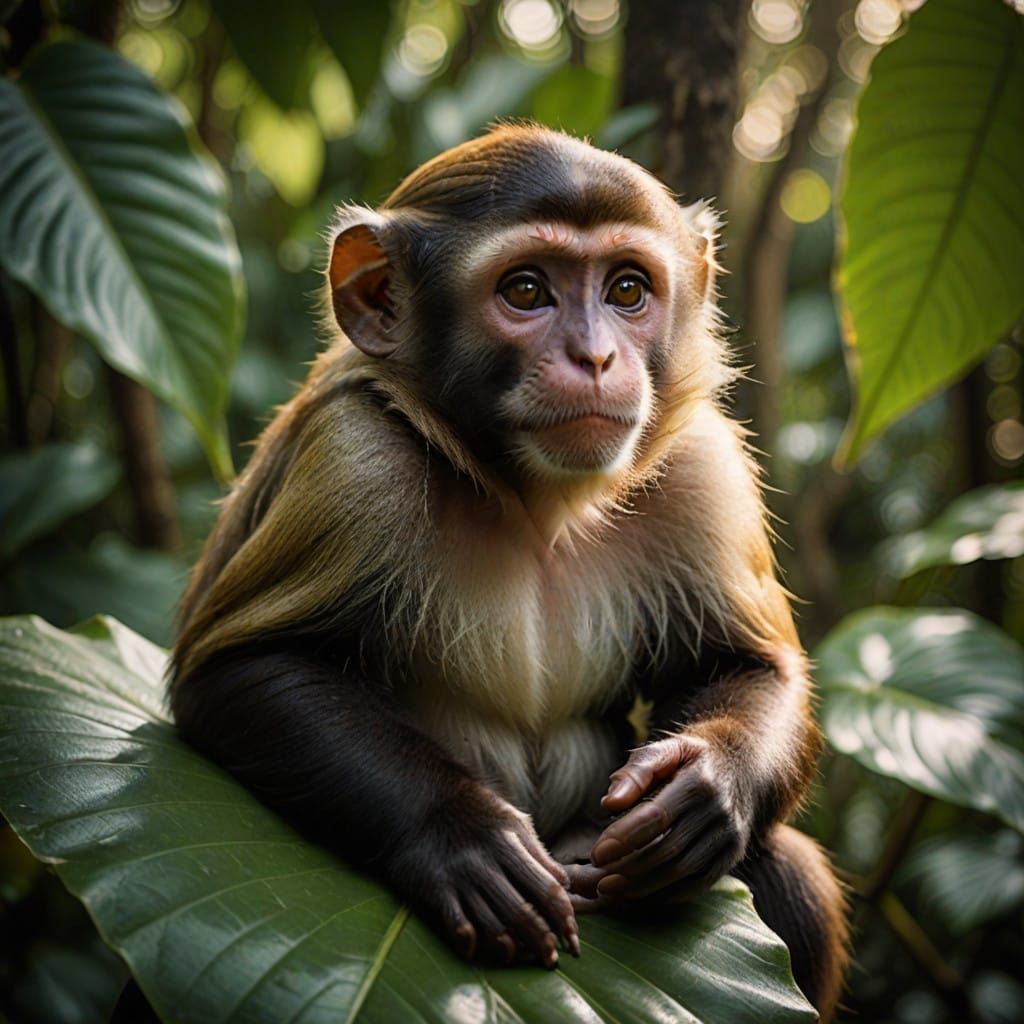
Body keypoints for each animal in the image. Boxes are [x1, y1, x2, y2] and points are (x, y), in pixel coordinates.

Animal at [169, 124, 848, 1018]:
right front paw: (462, 836)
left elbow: (747, 664)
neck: (531, 500)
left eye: (627, 290)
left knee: (786, 871)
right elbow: (236, 670)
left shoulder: (702, 466)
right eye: (525, 290)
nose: (595, 356)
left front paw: (704, 793)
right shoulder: (354, 464)